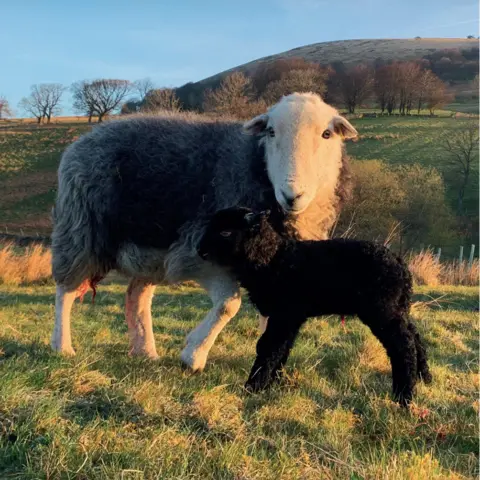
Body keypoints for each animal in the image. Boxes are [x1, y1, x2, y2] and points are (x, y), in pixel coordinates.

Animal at [197, 205, 434, 404]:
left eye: (226, 232)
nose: (200, 250)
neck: (273, 258)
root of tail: (401, 265)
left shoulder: (284, 313)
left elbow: (268, 347)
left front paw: (253, 387)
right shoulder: (291, 317)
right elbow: (281, 349)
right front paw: (273, 383)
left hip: (382, 310)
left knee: (403, 345)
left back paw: (404, 395)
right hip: (398, 309)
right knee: (415, 337)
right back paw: (424, 378)